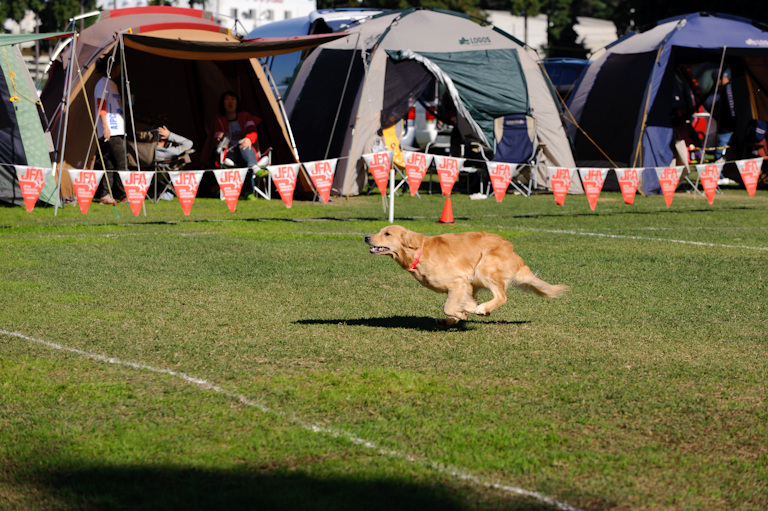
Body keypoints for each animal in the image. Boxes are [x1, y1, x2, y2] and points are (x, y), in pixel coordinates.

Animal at [366, 225, 568, 328]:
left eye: (387, 234)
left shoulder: (458, 282)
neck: (419, 251)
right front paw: (462, 314)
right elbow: (459, 306)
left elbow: (449, 307)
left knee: (501, 296)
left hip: (484, 267)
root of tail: (514, 254)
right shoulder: (467, 286)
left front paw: (466, 312)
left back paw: (482, 309)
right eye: (380, 231)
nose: (366, 237)